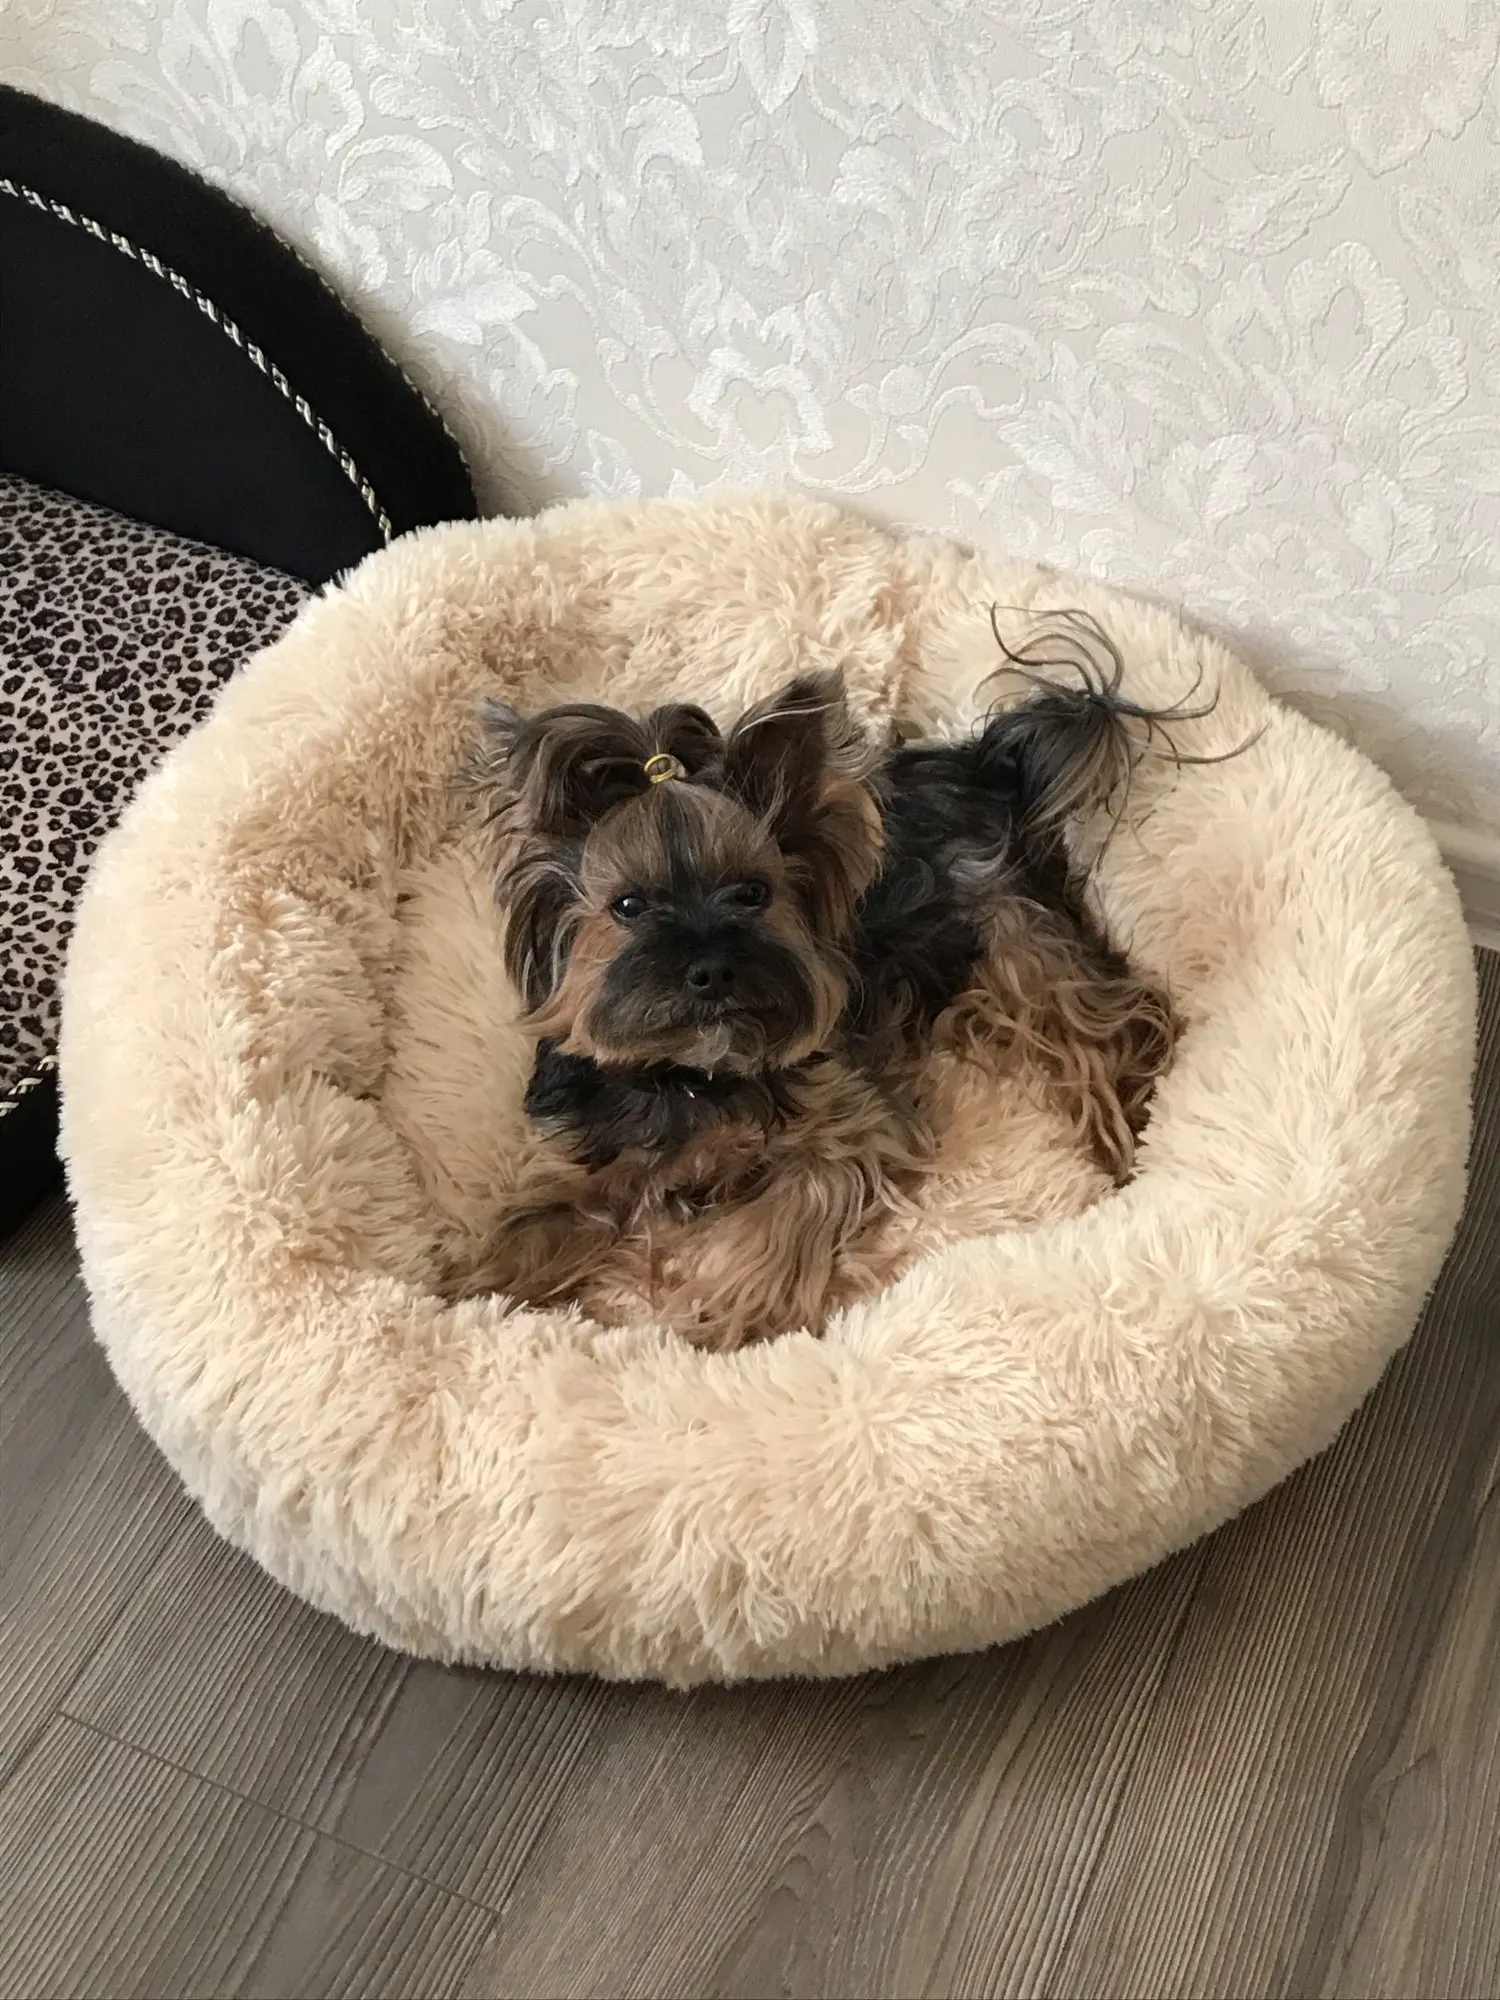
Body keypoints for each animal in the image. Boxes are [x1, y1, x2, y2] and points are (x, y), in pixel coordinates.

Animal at [454, 622, 1178, 1348]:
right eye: (628, 907)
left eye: (753, 892)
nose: (710, 968)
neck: (693, 1072)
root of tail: (981, 767)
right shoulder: (581, 1152)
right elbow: (528, 1232)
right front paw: (474, 1297)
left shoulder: (848, 1124)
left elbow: (783, 1218)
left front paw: (713, 1320)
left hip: (1014, 937)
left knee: (1108, 1019)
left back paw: (1127, 1127)